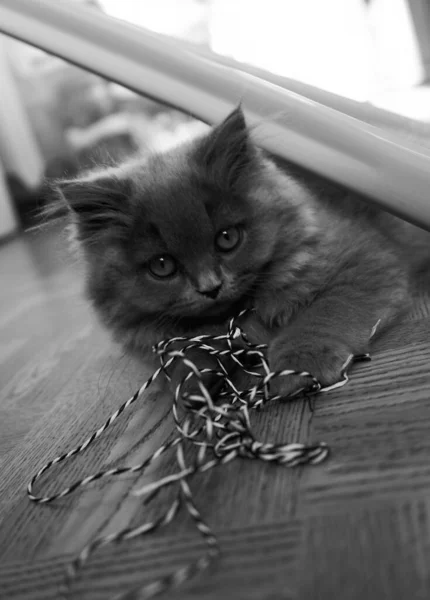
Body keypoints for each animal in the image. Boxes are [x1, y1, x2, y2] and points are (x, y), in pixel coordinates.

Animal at [55, 106, 430, 398]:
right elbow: (182, 352)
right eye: (162, 266)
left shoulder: (362, 261)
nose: (210, 287)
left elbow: (325, 313)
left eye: (227, 238)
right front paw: (193, 381)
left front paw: (299, 367)